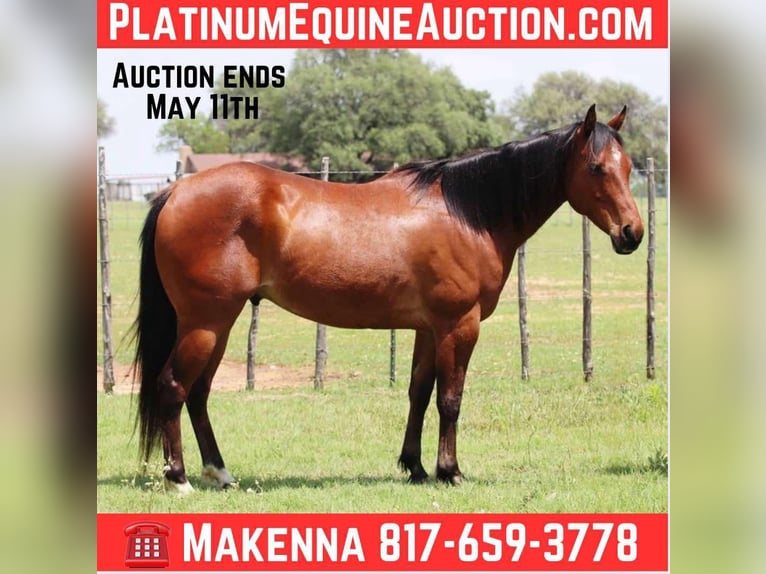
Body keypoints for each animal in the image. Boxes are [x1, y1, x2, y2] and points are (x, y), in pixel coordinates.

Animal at [133, 104, 643, 494]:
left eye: (629, 167)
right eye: (596, 168)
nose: (632, 233)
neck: (468, 213)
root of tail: (177, 190)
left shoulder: (428, 328)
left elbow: (419, 392)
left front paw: (414, 466)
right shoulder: (459, 325)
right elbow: (450, 399)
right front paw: (450, 471)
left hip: (218, 323)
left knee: (198, 393)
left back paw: (220, 474)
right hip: (206, 321)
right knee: (173, 386)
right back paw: (179, 479)